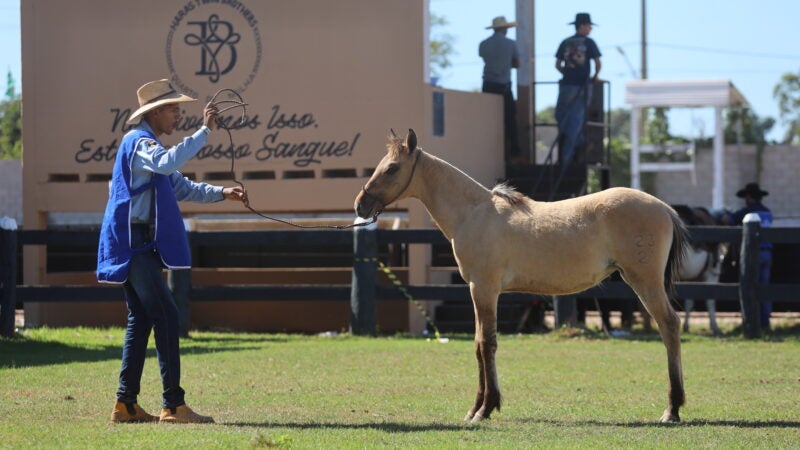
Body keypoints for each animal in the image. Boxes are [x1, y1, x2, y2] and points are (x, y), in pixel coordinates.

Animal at [354, 129, 689, 423]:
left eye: (392, 168)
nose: (361, 204)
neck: (474, 213)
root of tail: (664, 208)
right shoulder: (476, 290)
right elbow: (477, 343)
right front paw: (475, 408)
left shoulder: (485, 289)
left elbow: (486, 343)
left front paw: (485, 409)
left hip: (644, 282)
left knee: (669, 326)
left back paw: (671, 410)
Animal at [672, 205, 726, 335]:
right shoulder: (711, 276)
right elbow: (710, 299)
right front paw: (715, 326)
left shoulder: (691, 279)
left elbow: (689, 302)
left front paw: (686, 326)